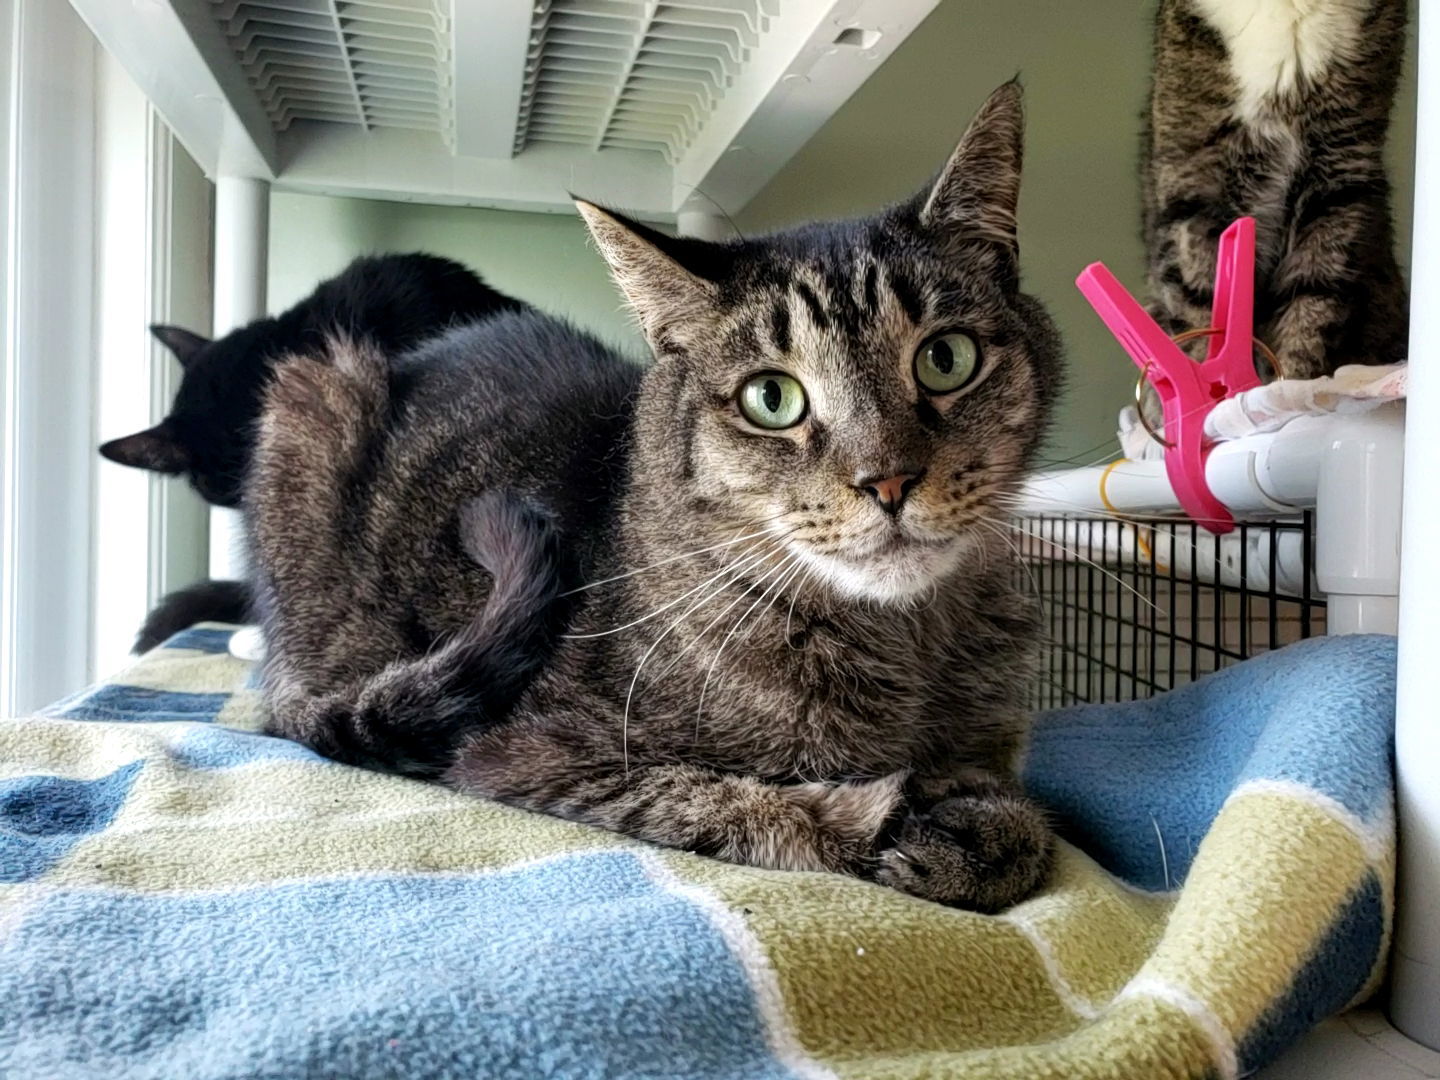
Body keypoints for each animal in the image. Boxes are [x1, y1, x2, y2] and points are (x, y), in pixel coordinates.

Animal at [247, 86, 1059, 915]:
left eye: (946, 359)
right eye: (772, 398)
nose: (886, 479)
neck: (908, 643)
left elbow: (1029, 818)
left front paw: (979, 826)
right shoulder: (532, 752)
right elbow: (743, 805)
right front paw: (887, 818)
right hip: (315, 397)